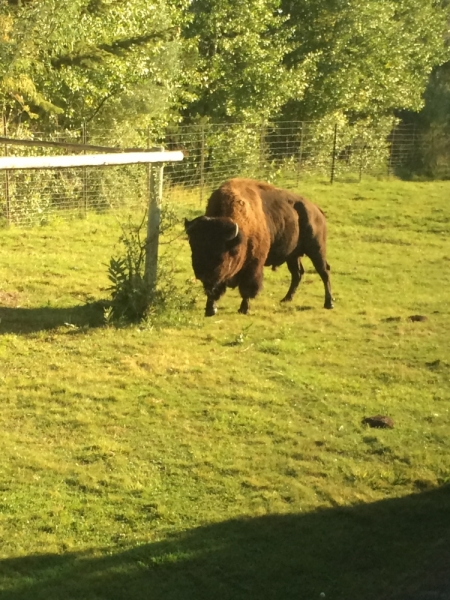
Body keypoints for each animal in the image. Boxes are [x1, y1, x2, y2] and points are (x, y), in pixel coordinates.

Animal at [184, 178, 334, 316]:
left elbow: (247, 288)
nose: (202, 273)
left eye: (220, 255)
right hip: (293, 255)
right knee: (297, 274)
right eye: (194, 248)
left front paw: (243, 309)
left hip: (317, 249)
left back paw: (329, 303)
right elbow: (214, 291)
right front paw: (210, 310)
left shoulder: (253, 266)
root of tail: (317, 210)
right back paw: (286, 299)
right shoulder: (217, 279)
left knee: (324, 272)